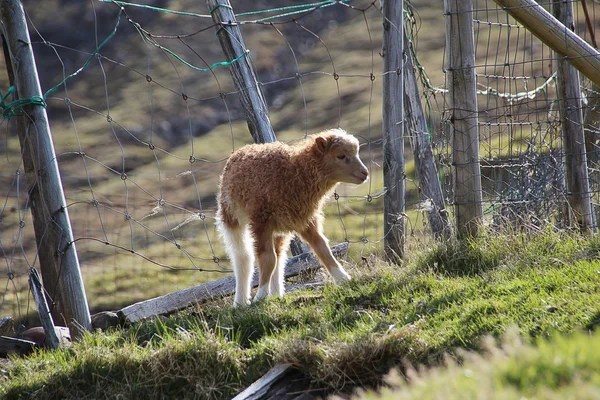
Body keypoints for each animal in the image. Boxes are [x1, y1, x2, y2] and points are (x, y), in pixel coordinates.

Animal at [214, 128, 366, 306]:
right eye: (341, 156)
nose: (365, 173)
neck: (295, 174)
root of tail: (243, 149)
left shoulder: (305, 220)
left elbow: (322, 249)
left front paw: (345, 279)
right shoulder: (261, 221)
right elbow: (267, 258)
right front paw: (260, 295)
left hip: (281, 225)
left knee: (279, 257)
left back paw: (276, 293)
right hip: (231, 215)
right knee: (243, 256)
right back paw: (241, 301)